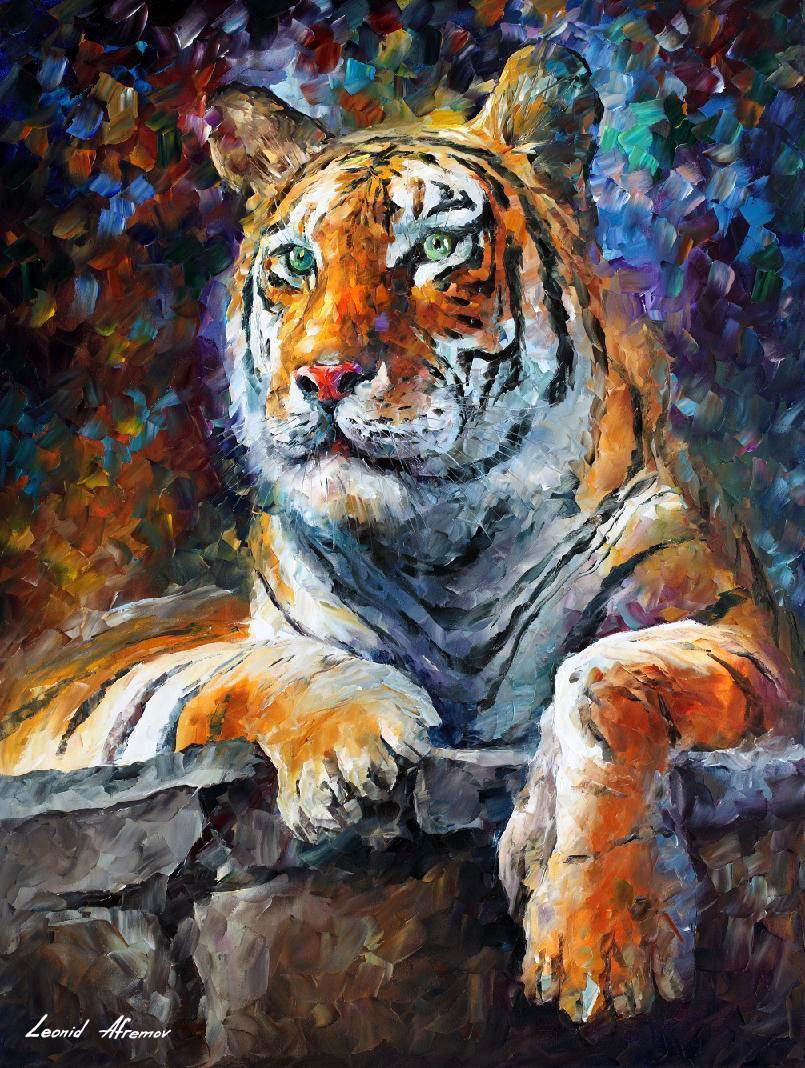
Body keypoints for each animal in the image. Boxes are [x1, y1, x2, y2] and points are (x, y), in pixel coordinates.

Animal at [0, 41, 799, 1025]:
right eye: (293, 263)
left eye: (438, 249)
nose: (324, 376)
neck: (445, 544)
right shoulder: (143, 702)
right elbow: (241, 667)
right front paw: (353, 743)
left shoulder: (745, 640)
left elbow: (606, 679)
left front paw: (598, 934)